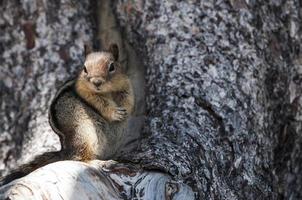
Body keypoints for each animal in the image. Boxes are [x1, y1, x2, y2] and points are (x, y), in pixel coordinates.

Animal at [0, 43, 134, 186]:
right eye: (84, 68)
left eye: (112, 66)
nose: (96, 82)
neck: (108, 91)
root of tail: (65, 150)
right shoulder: (84, 90)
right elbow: (99, 102)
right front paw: (115, 113)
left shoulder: (126, 85)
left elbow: (129, 99)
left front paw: (125, 111)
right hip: (84, 133)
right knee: (79, 158)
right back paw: (101, 163)